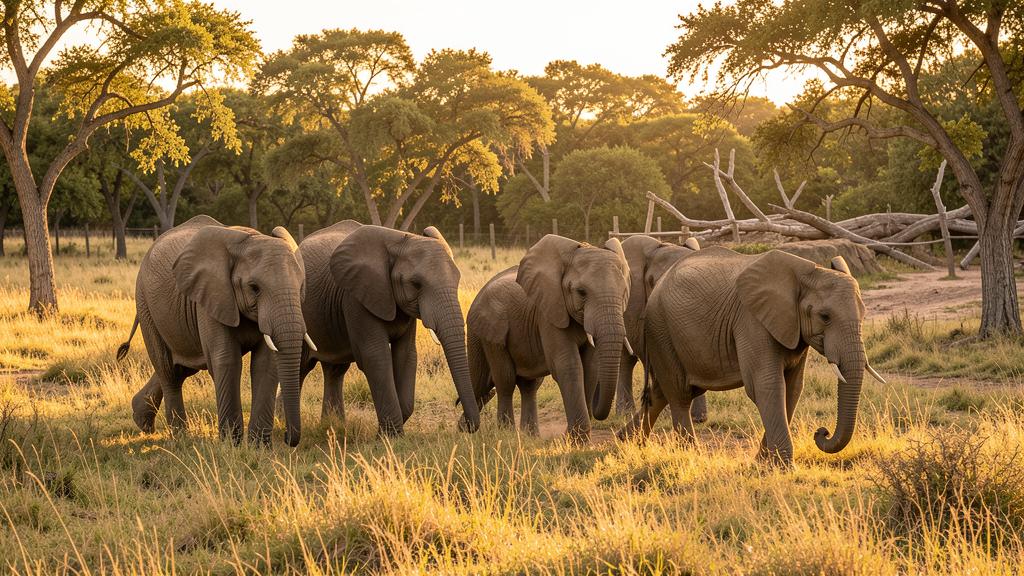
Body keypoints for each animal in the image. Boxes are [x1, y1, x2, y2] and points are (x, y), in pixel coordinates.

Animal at [118, 215, 309, 447]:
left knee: (182, 367)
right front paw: (231, 445)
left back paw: (142, 421)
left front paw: (260, 448)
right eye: (254, 287)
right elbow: (227, 360)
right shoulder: (211, 296)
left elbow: (265, 363)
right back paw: (180, 438)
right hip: (146, 305)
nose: (287, 436)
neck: (251, 238)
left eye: (301, 286)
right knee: (169, 372)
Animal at [296, 220, 479, 436]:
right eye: (416, 284)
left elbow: (406, 355)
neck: (399, 241)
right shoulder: (357, 296)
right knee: (301, 367)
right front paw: (388, 436)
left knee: (335, 370)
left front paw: (389, 431)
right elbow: (376, 355)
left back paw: (333, 426)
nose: (465, 424)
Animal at [465, 235, 630, 443]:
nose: (597, 413)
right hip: (489, 330)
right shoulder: (548, 313)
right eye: (581, 292)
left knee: (528, 386)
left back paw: (528, 436)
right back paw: (500, 433)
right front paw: (575, 439)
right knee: (503, 382)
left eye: (624, 293)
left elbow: (591, 368)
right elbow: (568, 365)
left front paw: (575, 438)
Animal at [624, 247, 885, 466]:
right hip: (661, 327)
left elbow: (793, 388)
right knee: (679, 394)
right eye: (825, 316)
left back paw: (623, 444)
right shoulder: (751, 320)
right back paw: (691, 457)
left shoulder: (794, 330)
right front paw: (784, 468)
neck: (803, 277)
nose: (822, 432)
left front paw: (762, 464)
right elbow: (767, 384)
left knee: (662, 393)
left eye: (864, 316)